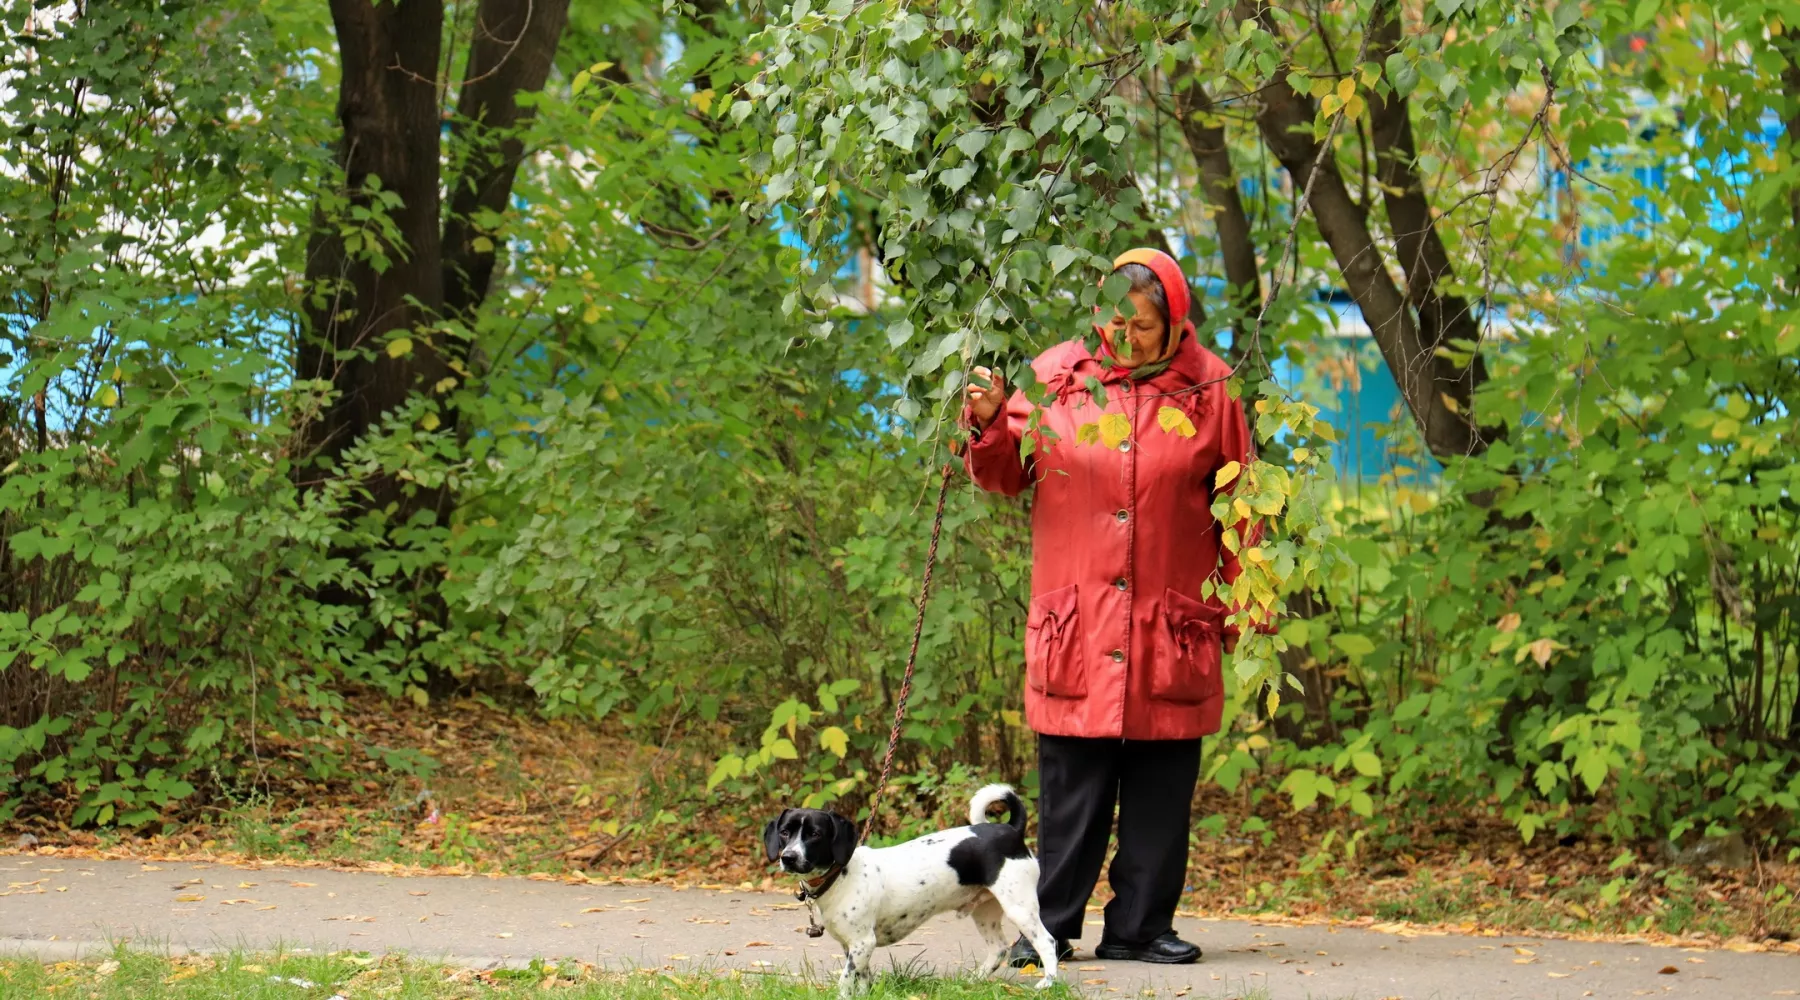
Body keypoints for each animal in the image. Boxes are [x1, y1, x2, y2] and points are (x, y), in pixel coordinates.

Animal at [759, 787, 1051, 992]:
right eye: (785, 832)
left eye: (815, 834)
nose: (788, 857)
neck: (840, 877)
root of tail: (1011, 830)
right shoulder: (855, 947)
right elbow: (861, 980)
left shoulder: (862, 943)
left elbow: (845, 982)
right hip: (985, 911)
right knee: (999, 949)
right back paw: (974, 980)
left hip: (1020, 908)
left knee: (1047, 942)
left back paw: (1047, 983)